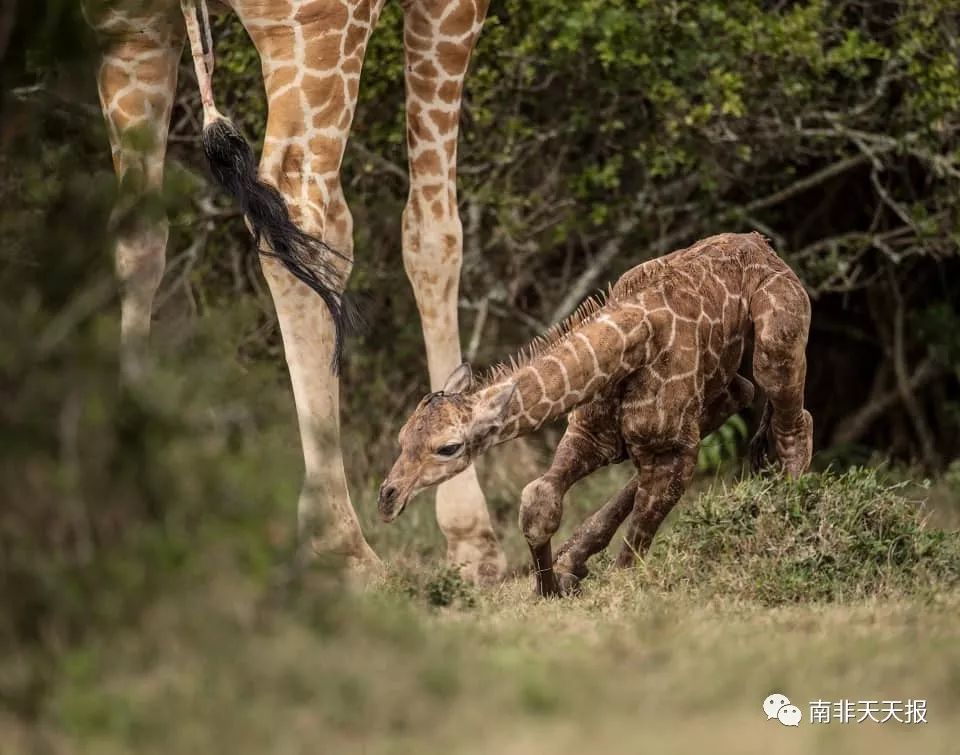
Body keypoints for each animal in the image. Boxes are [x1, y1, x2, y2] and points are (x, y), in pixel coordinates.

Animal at [82, 0, 506, 584]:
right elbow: (432, 232)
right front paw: (472, 538)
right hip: (314, 24)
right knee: (295, 206)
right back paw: (342, 547)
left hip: (130, 29)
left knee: (140, 231)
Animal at [378, 233, 812, 600]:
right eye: (401, 437)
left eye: (448, 447)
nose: (387, 498)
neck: (629, 347)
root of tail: (762, 243)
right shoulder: (590, 434)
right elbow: (539, 500)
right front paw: (552, 584)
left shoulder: (671, 449)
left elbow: (634, 549)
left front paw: (575, 582)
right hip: (714, 384)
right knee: (743, 394)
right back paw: (574, 557)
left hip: (776, 340)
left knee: (795, 422)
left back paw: (789, 525)